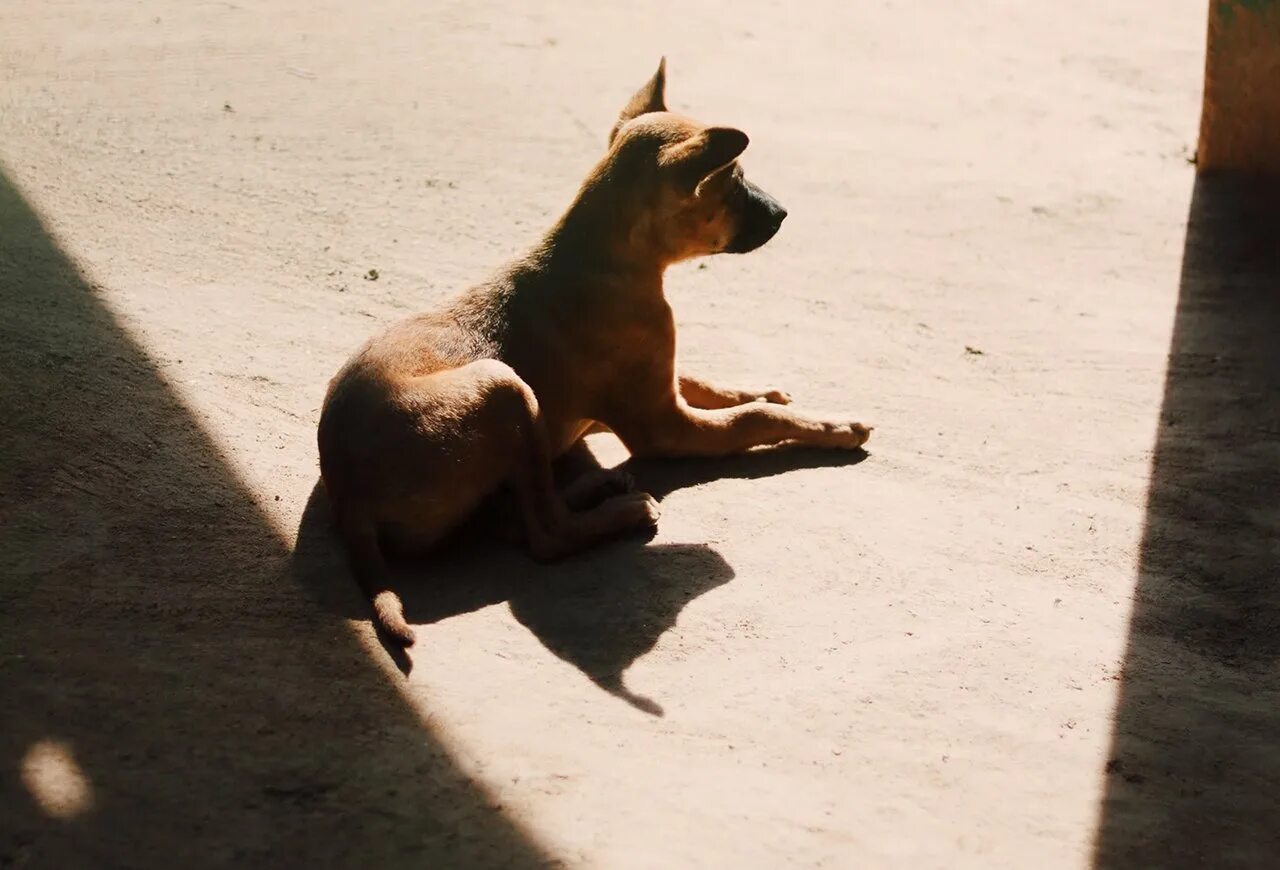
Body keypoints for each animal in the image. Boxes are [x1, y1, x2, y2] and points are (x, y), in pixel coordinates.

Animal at [318, 59, 875, 644]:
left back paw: (596, 484)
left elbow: (713, 384)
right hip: (503, 387)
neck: (606, 258)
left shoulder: (662, 379)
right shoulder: (663, 426)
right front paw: (833, 426)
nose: (784, 213)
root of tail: (348, 499)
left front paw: (768, 391)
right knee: (545, 535)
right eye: (736, 181)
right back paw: (621, 511)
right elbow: (753, 419)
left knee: (516, 514)